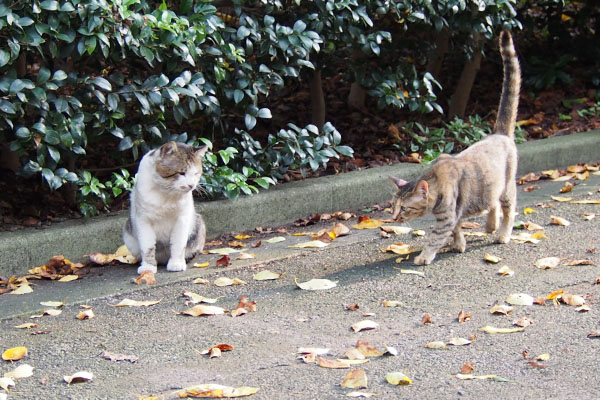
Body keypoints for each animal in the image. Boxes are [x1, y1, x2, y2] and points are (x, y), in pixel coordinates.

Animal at [123, 139, 207, 274]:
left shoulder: (182, 218)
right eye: (181, 172)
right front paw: (148, 267)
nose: (191, 185)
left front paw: (176, 263)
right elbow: (148, 247)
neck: (166, 192)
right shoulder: (143, 220)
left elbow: (178, 244)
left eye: (196, 173)